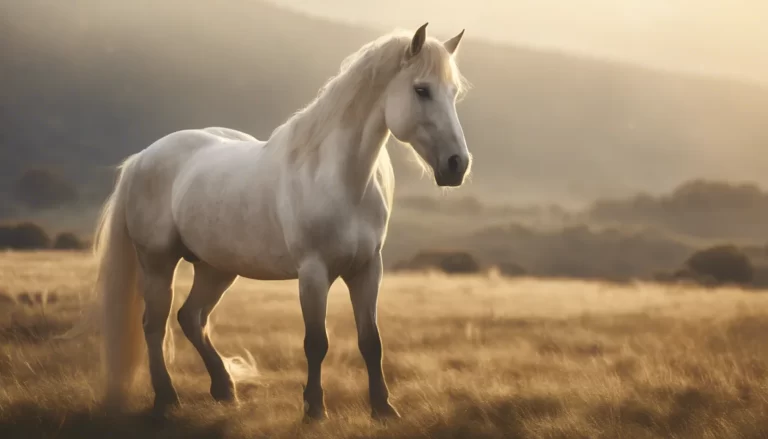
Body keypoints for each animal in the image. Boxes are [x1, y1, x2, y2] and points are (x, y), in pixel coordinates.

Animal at [91, 22, 471, 422]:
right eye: (421, 90)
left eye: (453, 93)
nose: (457, 164)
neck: (340, 179)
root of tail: (142, 157)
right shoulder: (313, 272)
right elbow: (316, 342)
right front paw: (314, 409)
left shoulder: (368, 269)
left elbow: (371, 340)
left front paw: (383, 408)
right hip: (157, 263)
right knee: (154, 324)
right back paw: (167, 397)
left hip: (216, 268)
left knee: (191, 318)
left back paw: (225, 389)